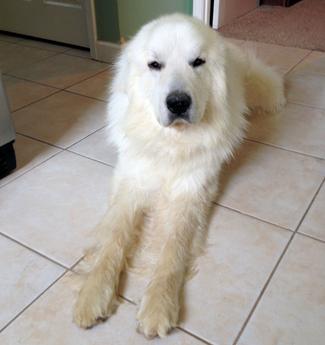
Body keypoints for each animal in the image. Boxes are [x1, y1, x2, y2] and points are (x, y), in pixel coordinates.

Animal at [73, 12, 284, 336]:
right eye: (154, 65)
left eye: (197, 62)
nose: (178, 103)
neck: (171, 143)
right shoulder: (131, 184)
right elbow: (113, 239)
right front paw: (94, 292)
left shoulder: (190, 193)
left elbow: (173, 248)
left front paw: (159, 304)